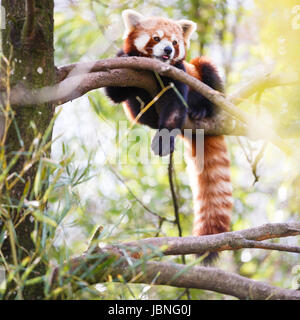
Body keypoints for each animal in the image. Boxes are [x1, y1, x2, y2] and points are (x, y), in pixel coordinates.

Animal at [104, 10, 233, 264]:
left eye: (174, 42)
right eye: (156, 38)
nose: (167, 51)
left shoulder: (179, 74)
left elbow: (175, 106)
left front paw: (163, 140)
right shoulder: (126, 75)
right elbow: (115, 92)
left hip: (203, 76)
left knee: (207, 69)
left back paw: (201, 110)